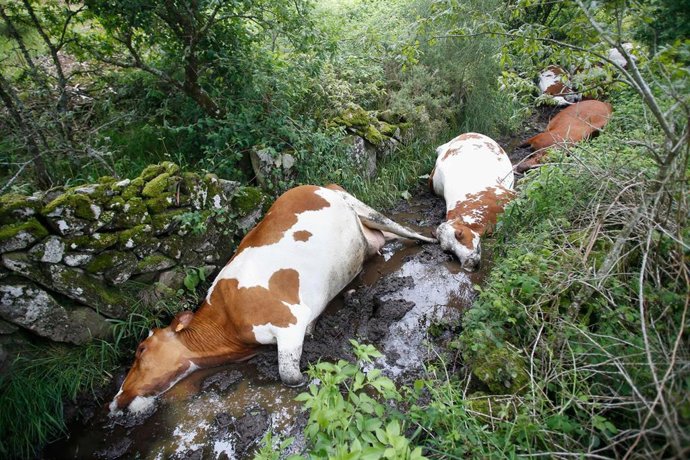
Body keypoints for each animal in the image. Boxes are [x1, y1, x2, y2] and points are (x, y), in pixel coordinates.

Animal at [109, 184, 435, 413]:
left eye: (141, 349)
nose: (115, 399)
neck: (226, 326)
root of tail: (312, 185)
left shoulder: (290, 319)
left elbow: (289, 376)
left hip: (360, 207)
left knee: (406, 230)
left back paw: (433, 240)